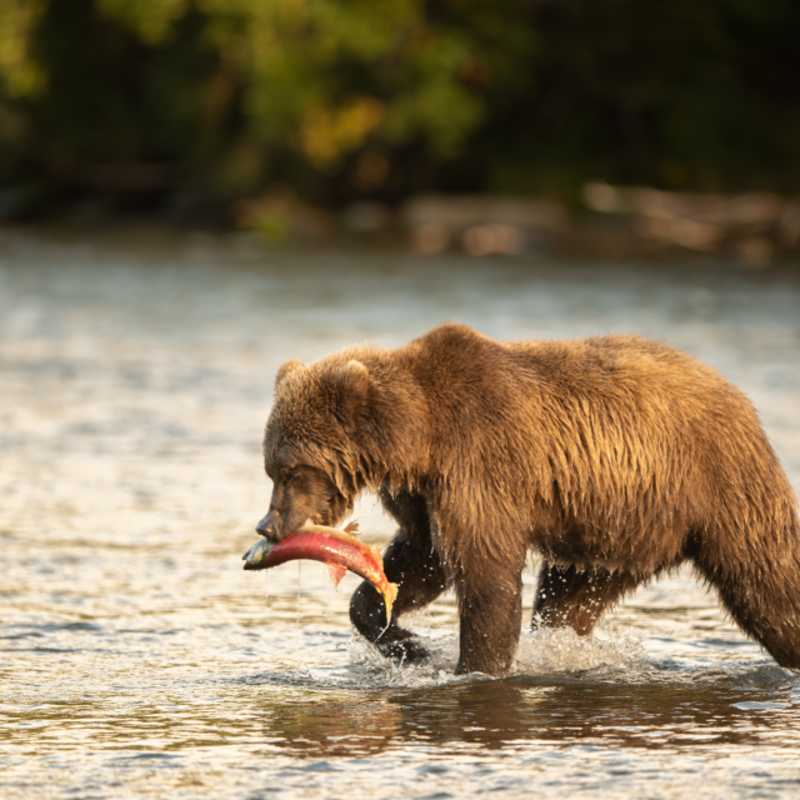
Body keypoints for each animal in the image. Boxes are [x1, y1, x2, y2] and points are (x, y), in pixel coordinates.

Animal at [257, 323, 800, 675]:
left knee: (768, 582)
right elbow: (419, 560)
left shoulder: (482, 465)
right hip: (615, 528)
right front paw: (407, 641)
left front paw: (474, 665)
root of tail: (738, 396)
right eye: (271, 468)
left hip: (719, 485)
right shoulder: (424, 497)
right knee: (566, 598)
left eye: (293, 469)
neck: (418, 438)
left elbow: (486, 574)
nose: (268, 526)